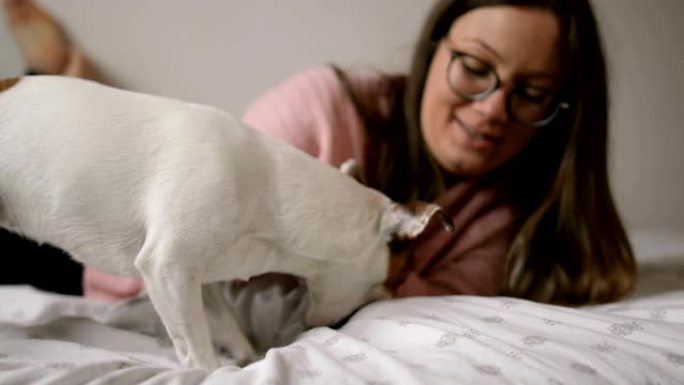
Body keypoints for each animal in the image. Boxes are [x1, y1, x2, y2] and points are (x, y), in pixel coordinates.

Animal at [0, 76, 444, 368]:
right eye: (388, 285)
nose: (344, 323)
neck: (270, 190)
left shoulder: (198, 284)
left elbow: (229, 331)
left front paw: (248, 359)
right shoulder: (168, 270)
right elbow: (198, 351)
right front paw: (209, 371)